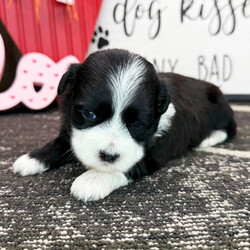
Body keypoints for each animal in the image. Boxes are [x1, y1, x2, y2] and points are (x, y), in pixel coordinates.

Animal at [13, 48, 236, 201]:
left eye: (137, 123)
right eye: (90, 113)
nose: (108, 155)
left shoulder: (155, 151)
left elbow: (130, 164)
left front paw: (92, 180)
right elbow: (61, 142)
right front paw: (32, 158)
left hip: (220, 108)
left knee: (229, 129)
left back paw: (208, 139)